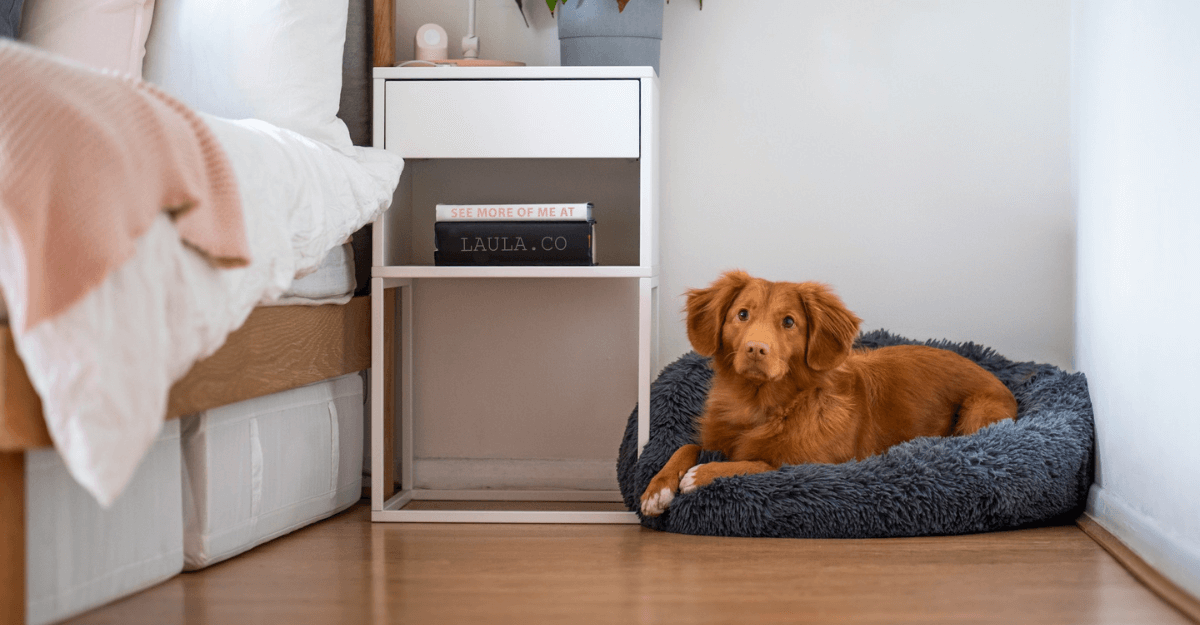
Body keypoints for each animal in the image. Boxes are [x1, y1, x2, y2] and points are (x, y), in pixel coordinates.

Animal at [643, 271, 1017, 515]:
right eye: (742, 314)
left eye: (789, 322)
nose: (755, 349)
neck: (759, 404)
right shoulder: (714, 437)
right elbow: (686, 446)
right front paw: (657, 488)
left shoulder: (811, 466)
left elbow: (759, 464)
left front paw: (701, 475)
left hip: (976, 412)